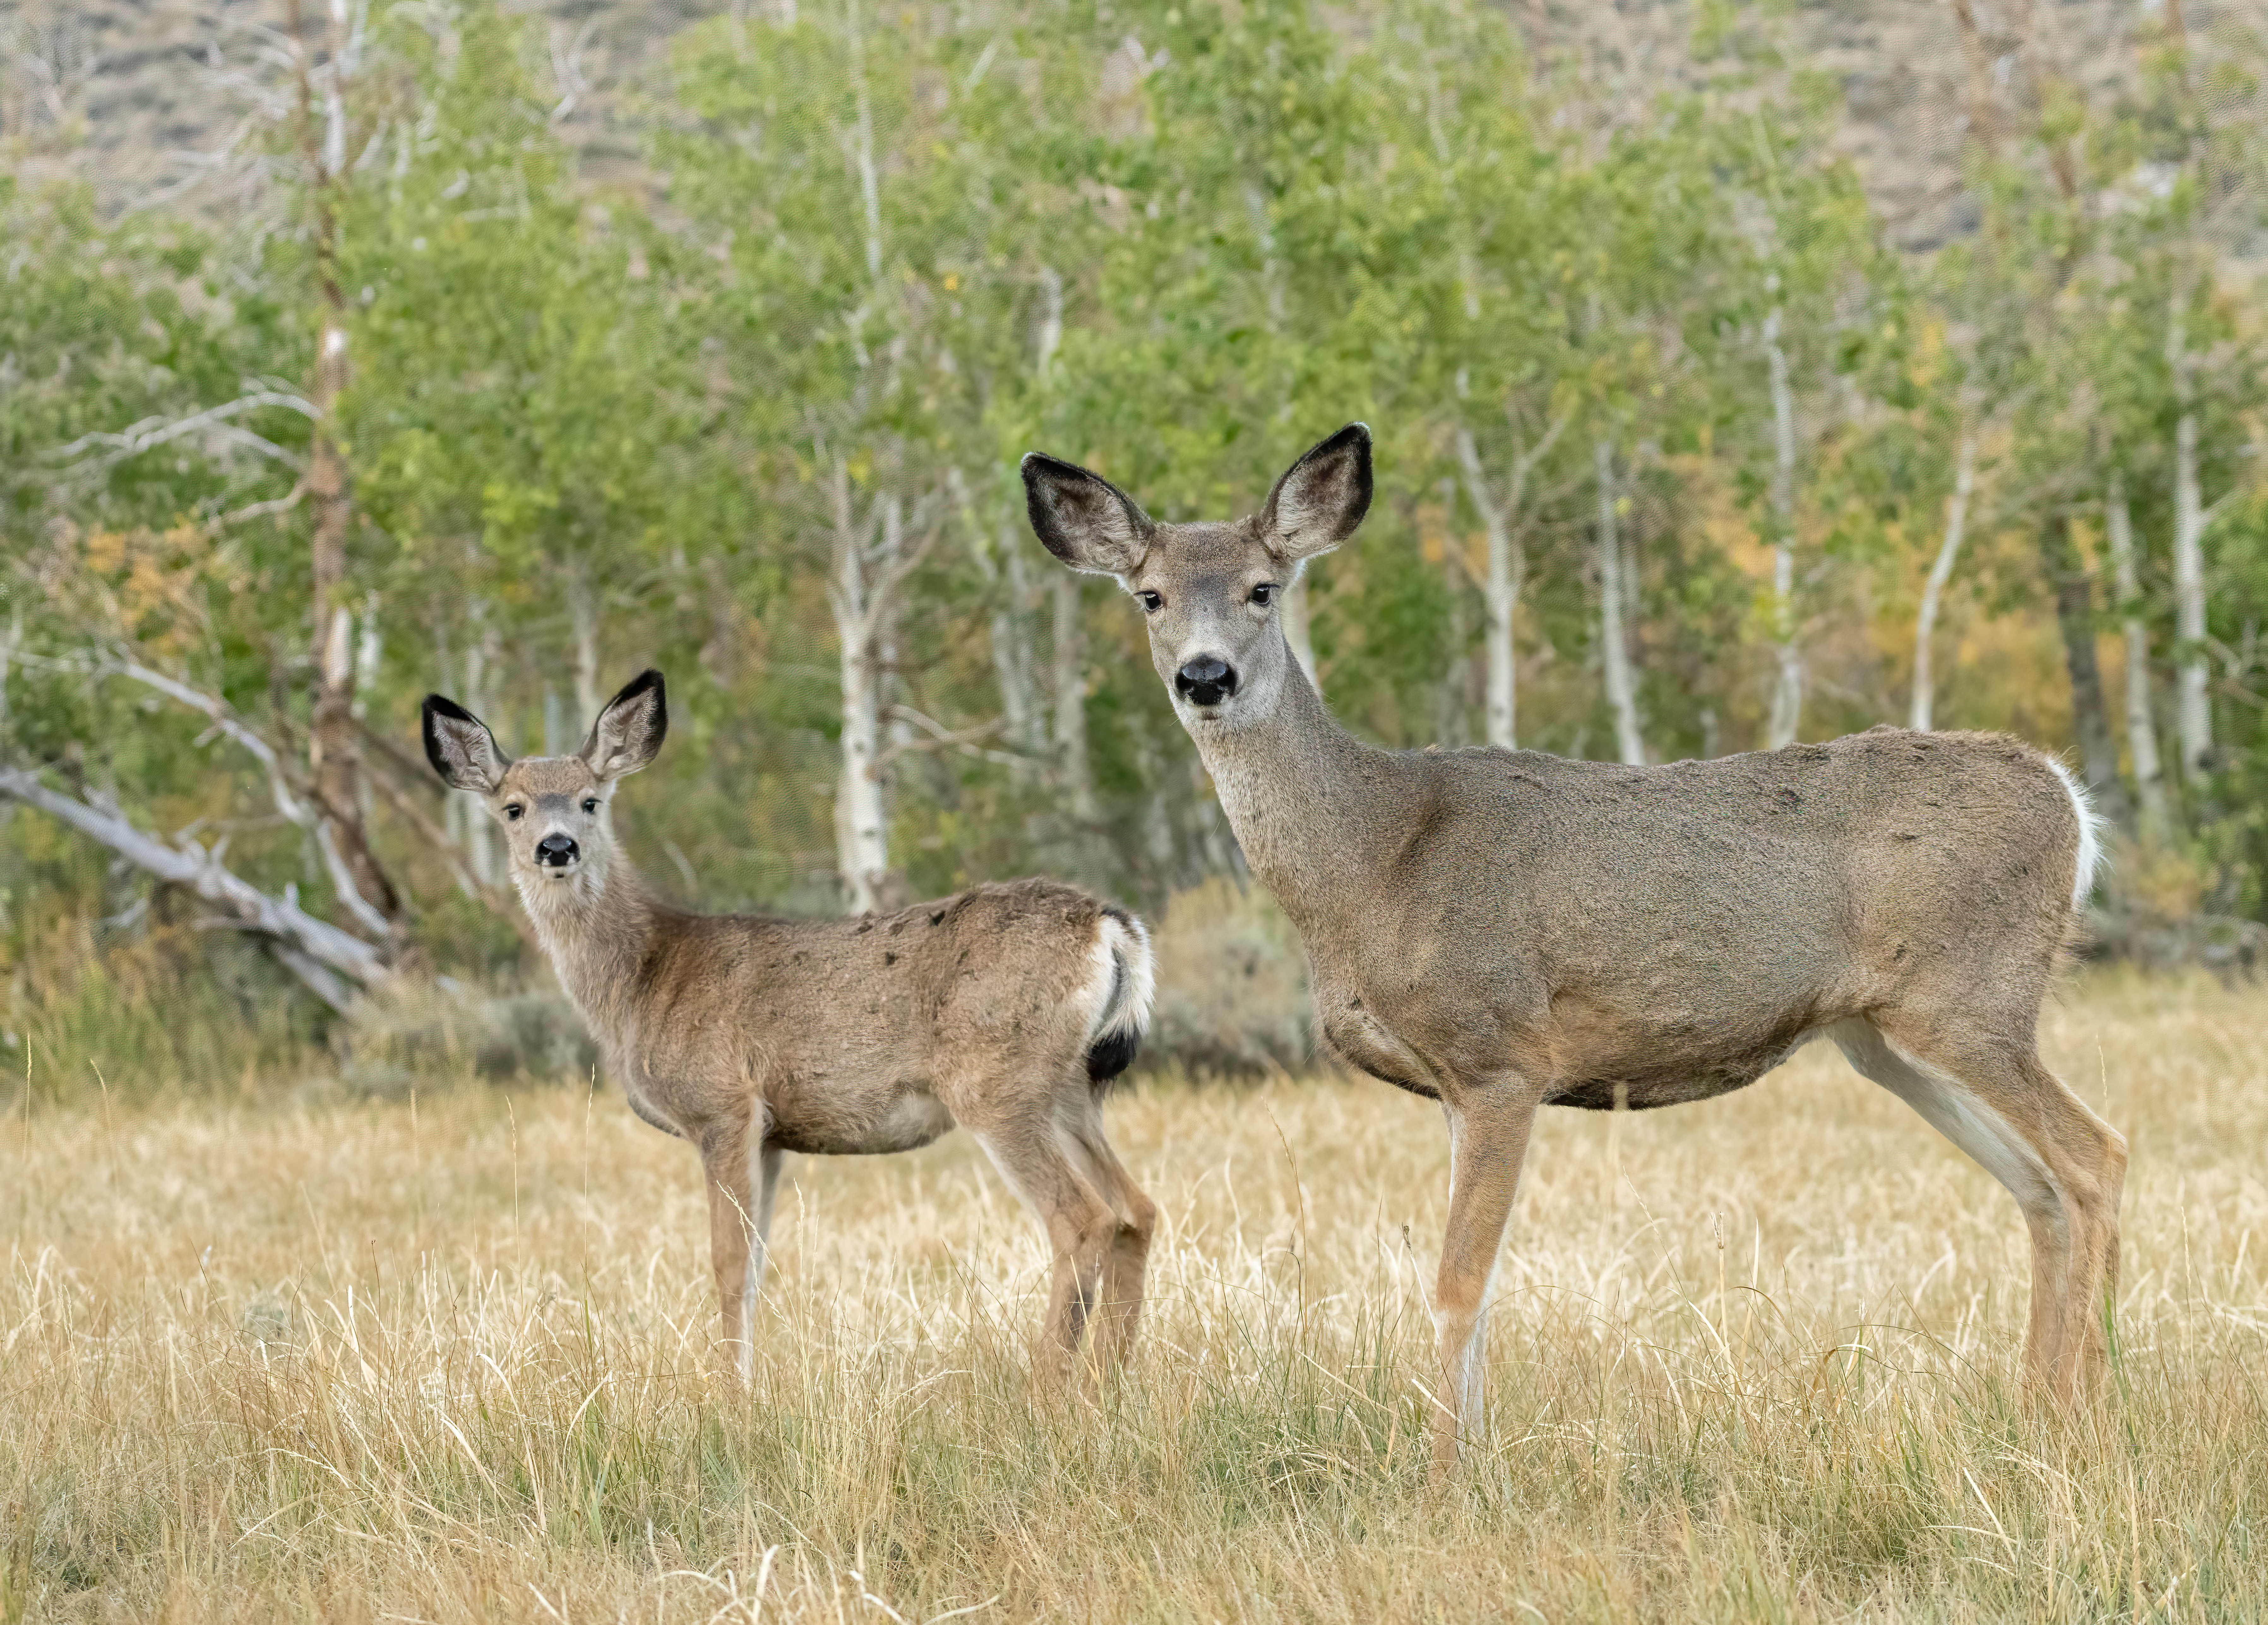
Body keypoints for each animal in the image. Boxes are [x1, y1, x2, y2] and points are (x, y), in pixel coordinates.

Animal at [420, 670, 1159, 1383]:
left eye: (590, 801)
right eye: (513, 807)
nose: (557, 847)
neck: (644, 979)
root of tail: (1107, 925)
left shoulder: (722, 1105)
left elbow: (726, 1264)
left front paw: (730, 1396)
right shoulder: (771, 1135)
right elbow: (754, 1265)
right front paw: (746, 1384)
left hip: (997, 1082)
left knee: (1084, 1219)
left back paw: (1047, 1388)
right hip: (1071, 1090)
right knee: (1138, 1210)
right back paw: (1107, 1384)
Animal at [1021, 423, 2127, 1470]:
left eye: (1263, 588)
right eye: (1151, 596)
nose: (1206, 676)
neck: (1375, 860)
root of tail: (2069, 801)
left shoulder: (1501, 1051)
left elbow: (1459, 1284)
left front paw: (1444, 1481)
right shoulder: (1450, 1082)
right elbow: (1474, 1283)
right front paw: (1468, 1459)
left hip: (1970, 995)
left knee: (2097, 1157)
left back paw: (2087, 1419)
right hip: (1885, 1035)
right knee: (2038, 1188)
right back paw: (2036, 1417)